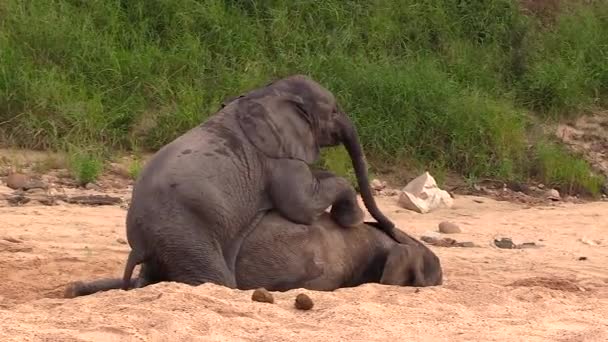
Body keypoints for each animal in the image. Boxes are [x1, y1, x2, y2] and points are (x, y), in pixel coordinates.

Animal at [120, 73, 400, 290]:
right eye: (333, 111)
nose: (391, 227)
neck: (267, 94)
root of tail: (140, 245)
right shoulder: (276, 157)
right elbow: (301, 207)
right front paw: (351, 220)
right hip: (185, 234)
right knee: (213, 278)